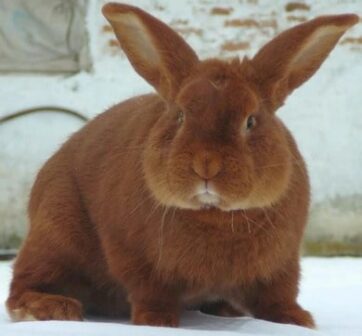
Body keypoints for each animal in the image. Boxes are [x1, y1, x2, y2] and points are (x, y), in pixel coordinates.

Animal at [6, 1, 360, 328]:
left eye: (250, 121)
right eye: (179, 116)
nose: (206, 164)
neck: (215, 215)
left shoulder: (282, 264)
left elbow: (278, 296)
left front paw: (298, 321)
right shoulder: (136, 260)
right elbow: (152, 293)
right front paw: (157, 322)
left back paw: (225, 309)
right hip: (56, 231)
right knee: (22, 284)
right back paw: (52, 307)